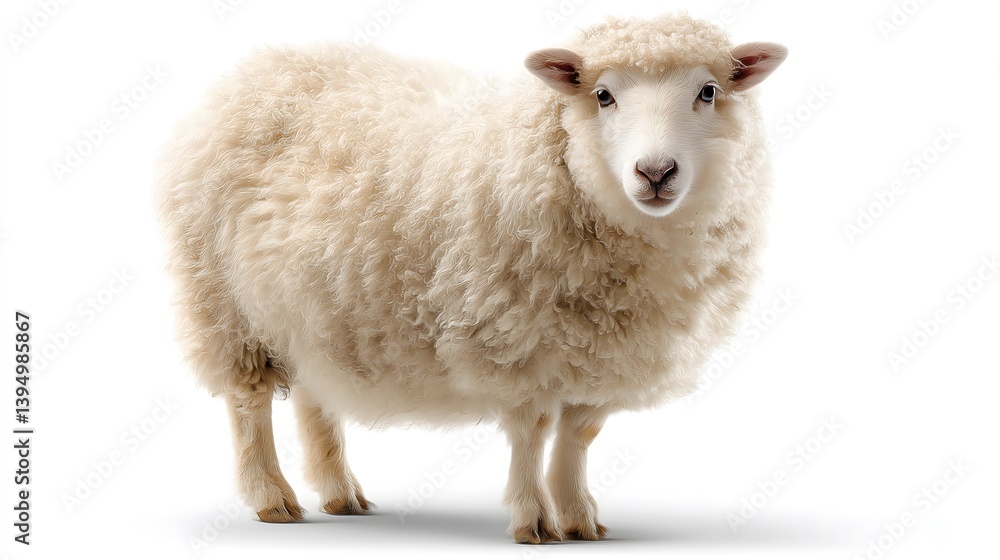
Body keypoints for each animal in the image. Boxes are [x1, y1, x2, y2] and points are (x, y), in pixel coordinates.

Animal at [154, 13, 786, 544]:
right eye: (603, 95)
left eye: (708, 91)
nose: (655, 172)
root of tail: (259, 68)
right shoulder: (518, 339)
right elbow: (534, 430)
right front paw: (534, 521)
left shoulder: (598, 350)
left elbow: (578, 435)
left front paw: (579, 518)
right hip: (225, 303)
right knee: (249, 403)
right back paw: (272, 498)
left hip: (316, 303)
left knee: (315, 394)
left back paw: (340, 494)